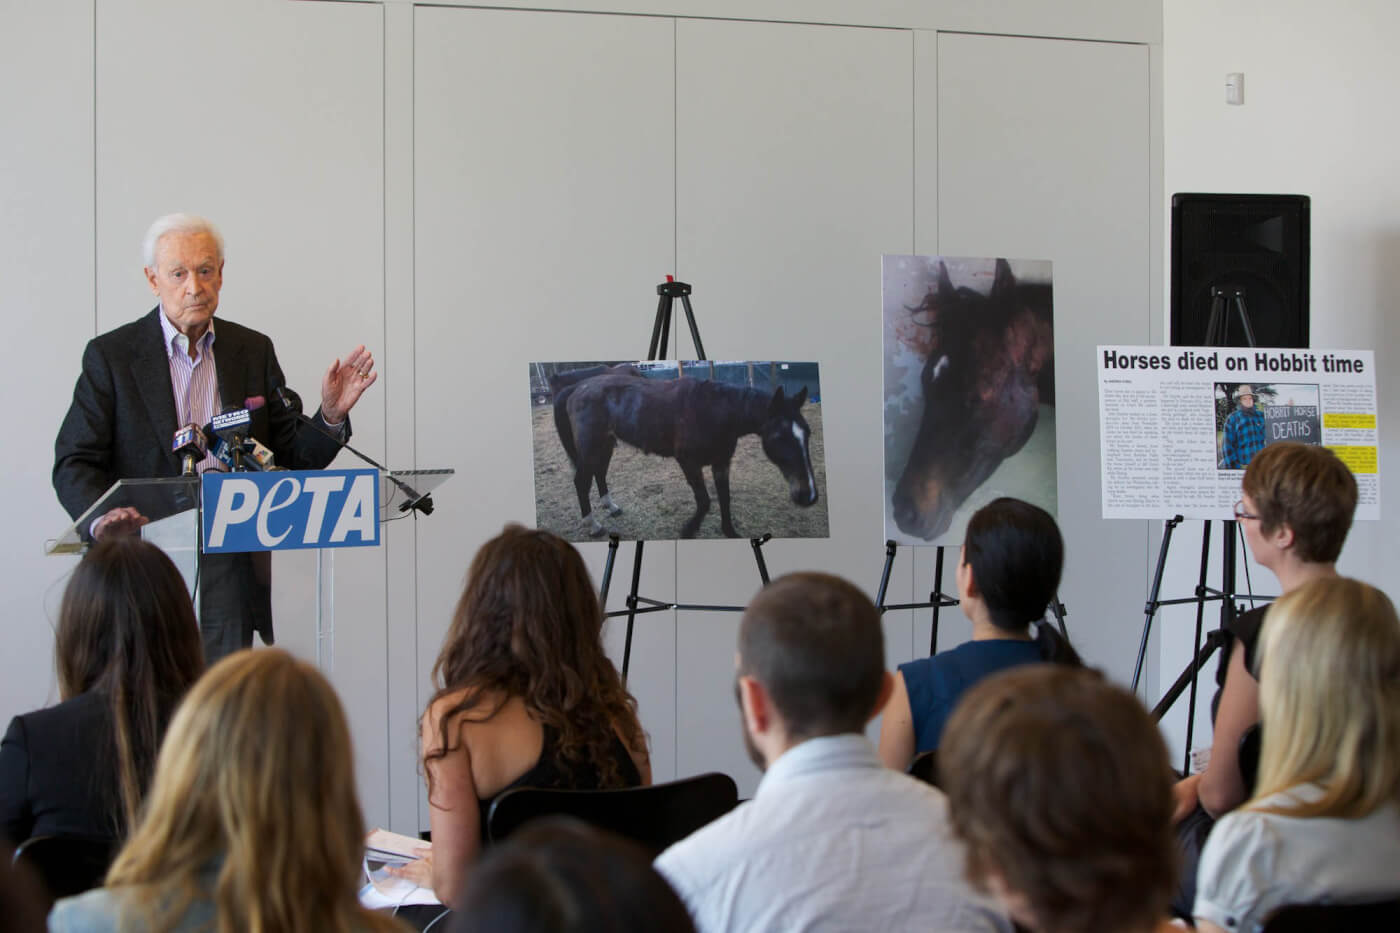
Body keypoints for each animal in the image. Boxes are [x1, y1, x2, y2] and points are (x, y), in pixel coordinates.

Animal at [557, 372, 817, 537]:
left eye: (807, 433)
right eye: (779, 437)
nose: (808, 495)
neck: (715, 410)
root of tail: (576, 387)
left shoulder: (721, 462)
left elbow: (724, 497)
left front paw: (729, 532)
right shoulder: (688, 463)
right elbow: (704, 501)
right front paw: (688, 530)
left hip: (605, 445)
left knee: (600, 473)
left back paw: (611, 507)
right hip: (591, 447)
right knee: (581, 481)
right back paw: (593, 525)